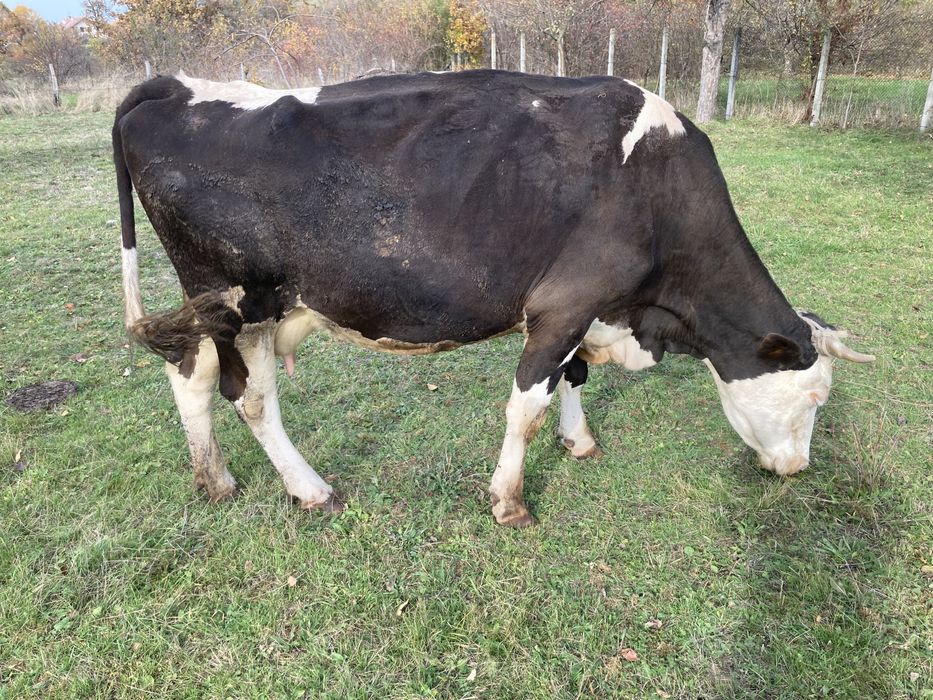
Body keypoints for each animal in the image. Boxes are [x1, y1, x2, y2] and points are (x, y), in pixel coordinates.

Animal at [113, 70, 874, 527]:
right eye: (814, 398)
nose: (798, 468)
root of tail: (174, 85)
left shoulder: (585, 311)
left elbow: (574, 376)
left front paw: (579, 441)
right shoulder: (566, 302)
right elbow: (526, 407)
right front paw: (509, 501)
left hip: (211, 312)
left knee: (189, 376)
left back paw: (213, 479)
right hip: (242, 303)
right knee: (250, 396)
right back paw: (309, 488)